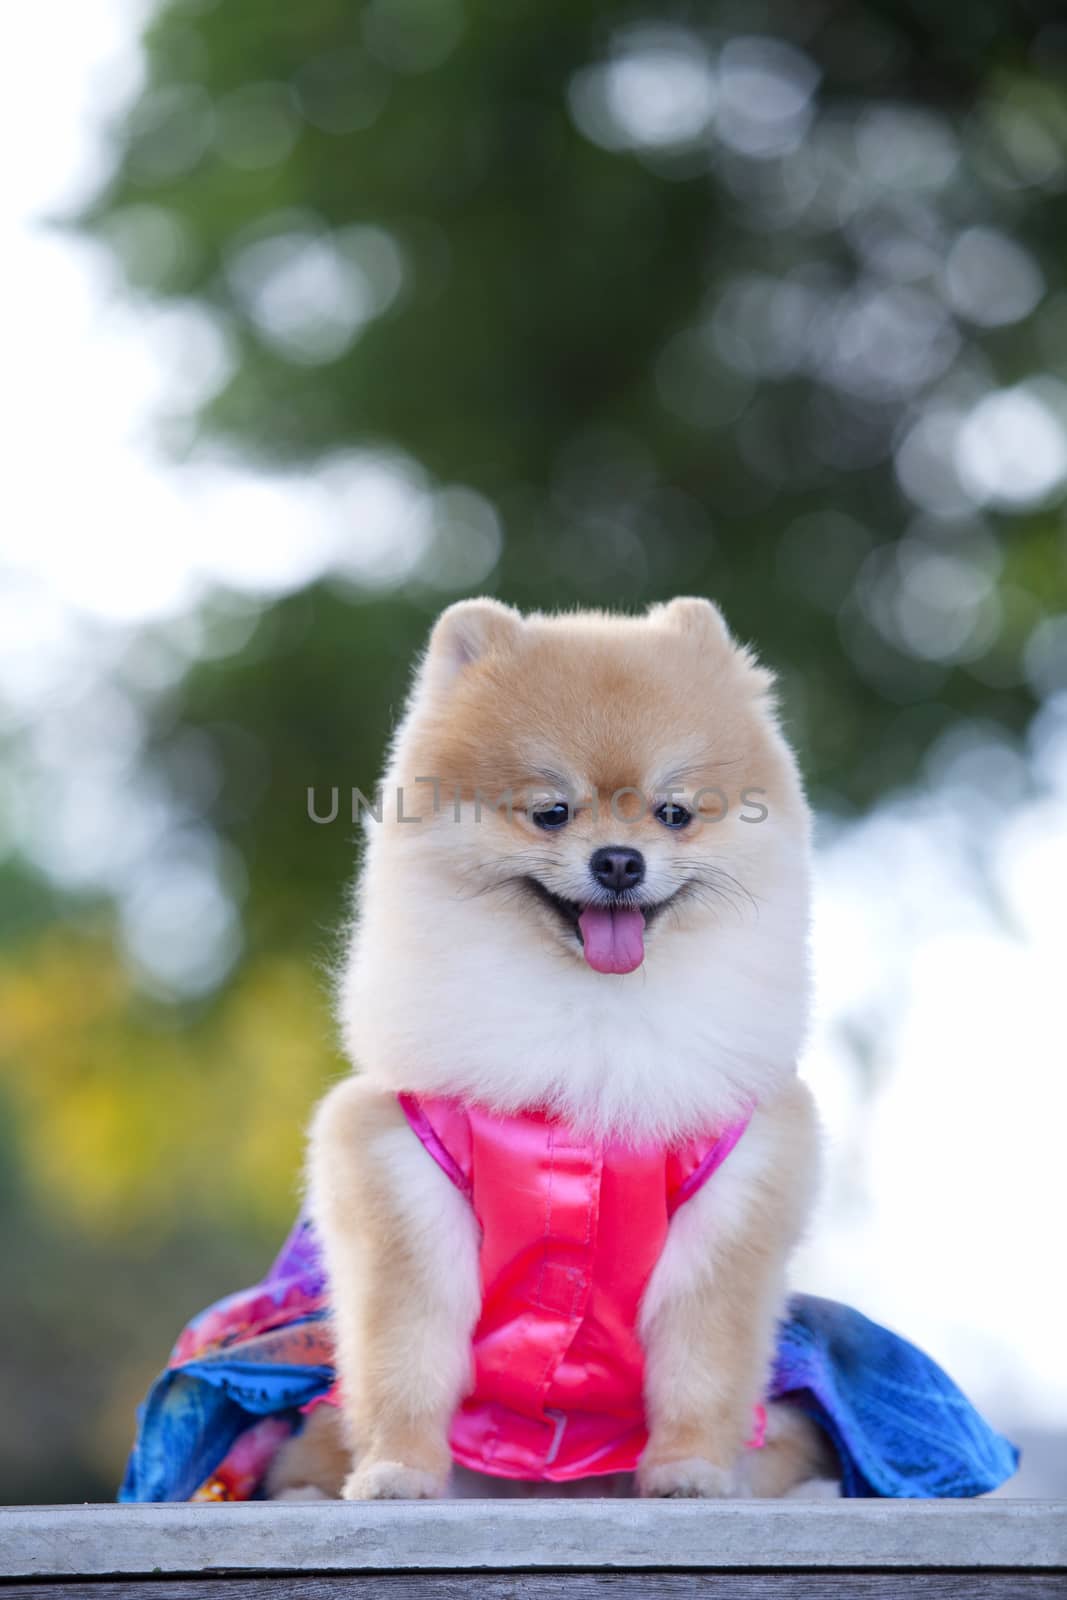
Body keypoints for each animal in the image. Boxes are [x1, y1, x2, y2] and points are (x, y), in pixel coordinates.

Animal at [268, 598, 831, 1497]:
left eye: (674, 813)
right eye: (550, 812)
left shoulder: (733, 1202)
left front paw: (688, 1470)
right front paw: (397, 1471)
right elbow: (405, 1361)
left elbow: (703, 1366)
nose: (619, 861)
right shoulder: (402, 1181)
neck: (591, 1021)